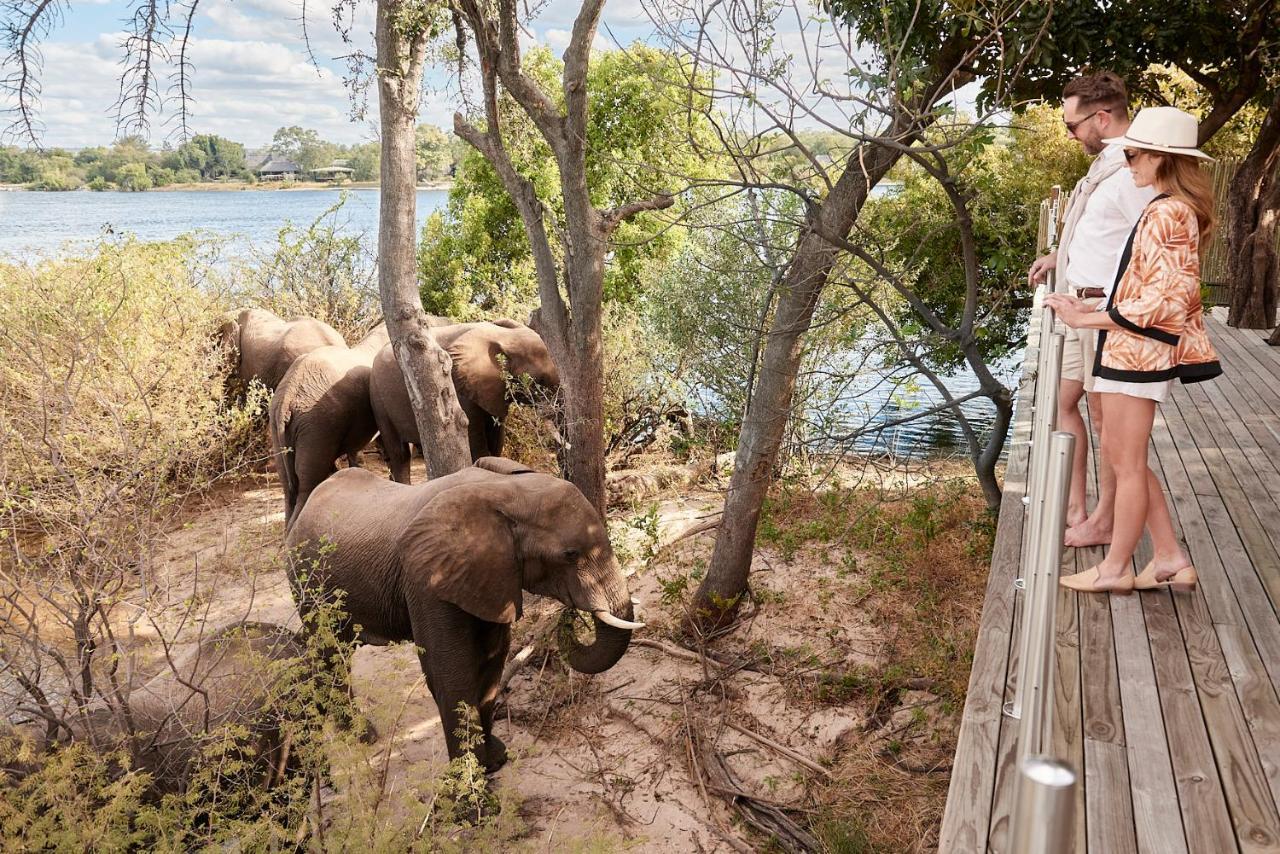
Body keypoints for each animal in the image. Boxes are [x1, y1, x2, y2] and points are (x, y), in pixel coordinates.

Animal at [281, 460, 640, 773]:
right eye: (570, 555)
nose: (568, 619)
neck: (505, 492)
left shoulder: (490, 576)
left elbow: (491, 664)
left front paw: (495, 760)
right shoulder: (428, 581)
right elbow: (451, 673)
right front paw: (472, 786)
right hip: (307, 579)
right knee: (331, 651)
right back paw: (362, 735)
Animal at [366, 318, 555, 481]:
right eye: (539, 382)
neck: (504, 336)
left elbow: (496, 442)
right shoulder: (459, 389)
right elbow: (477, 445)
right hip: (378, 399)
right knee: (399, 454)